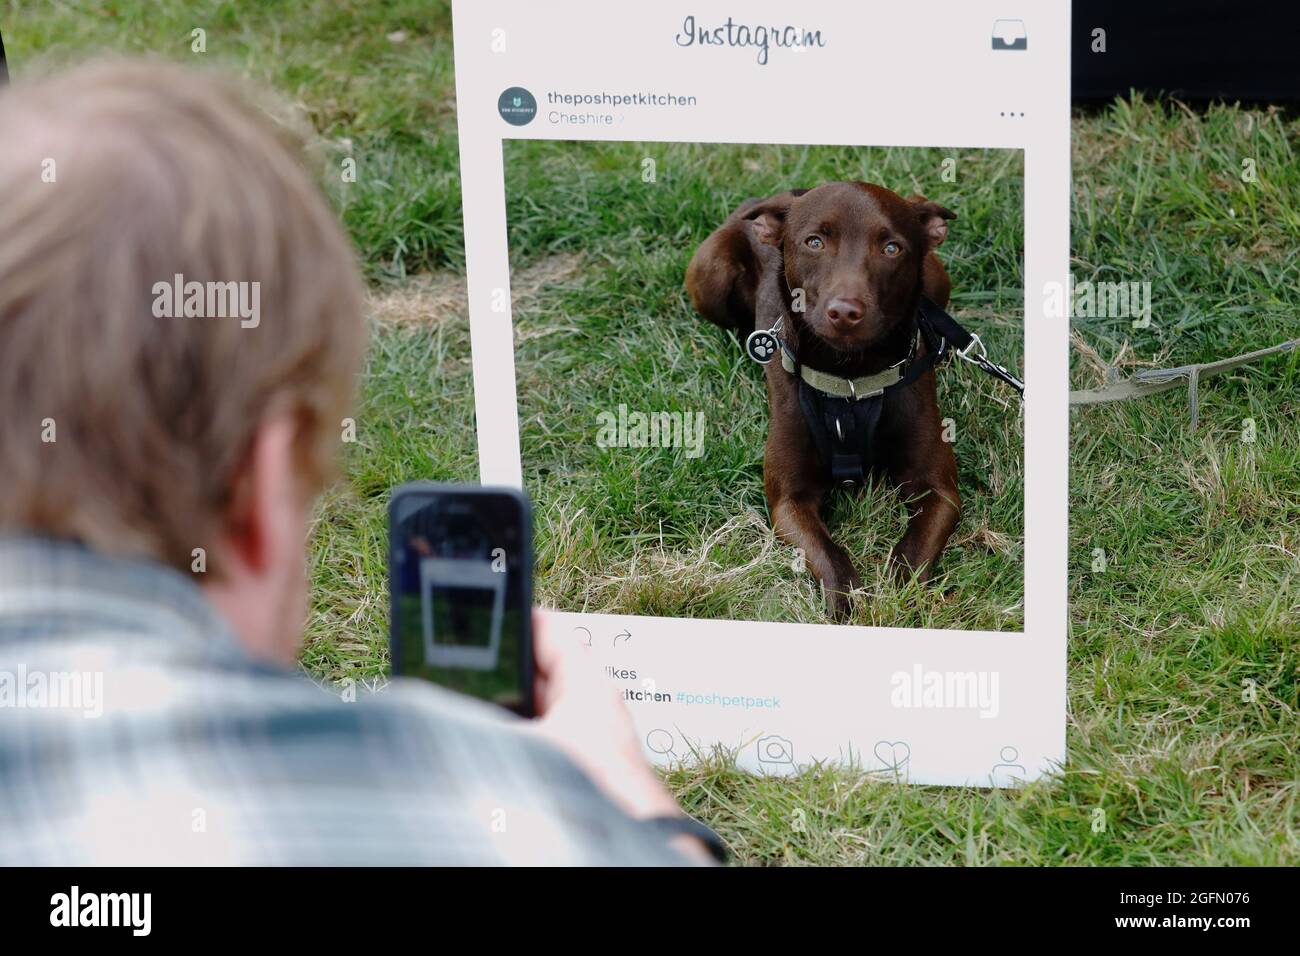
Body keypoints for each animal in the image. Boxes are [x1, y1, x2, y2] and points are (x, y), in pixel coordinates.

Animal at [686, 182, 961, 616]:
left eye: (892, 248)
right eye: (814, 242)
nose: (845, 311)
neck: (851, 381)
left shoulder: (940, 491)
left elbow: (914, 551)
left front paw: (898, 601)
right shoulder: (788, 502)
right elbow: (828, 555)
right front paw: (844, 608)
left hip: (938, 280)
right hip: (710, 276)